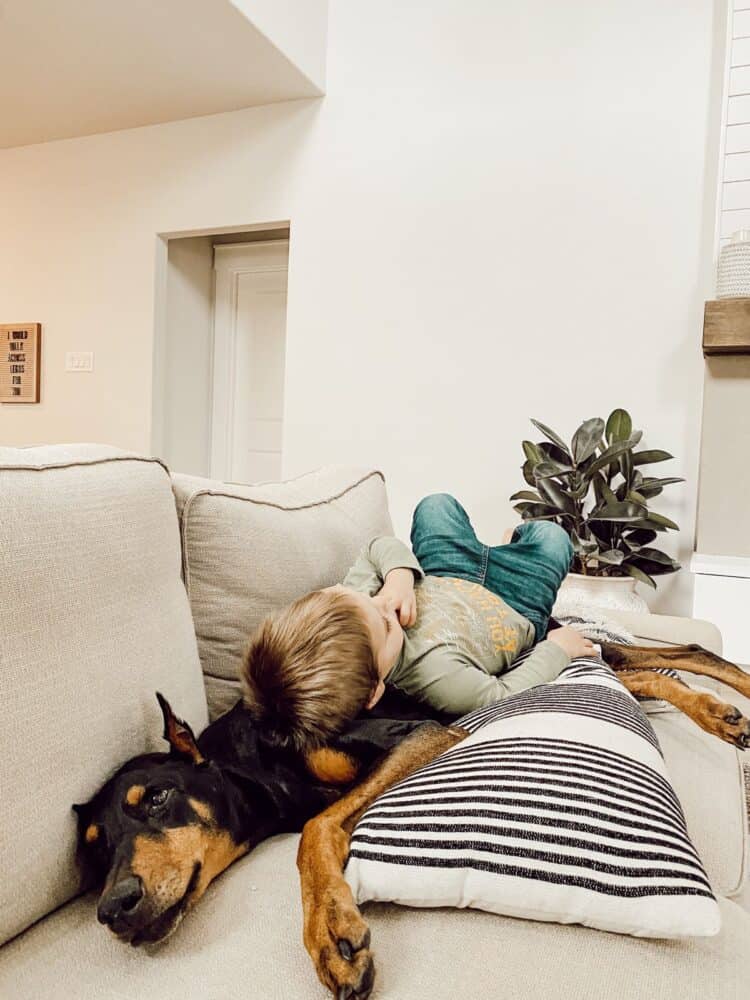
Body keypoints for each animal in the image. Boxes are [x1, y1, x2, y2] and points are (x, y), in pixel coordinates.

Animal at [75, 640, 750, 1000]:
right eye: (94, 852)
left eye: (156, 798)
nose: (113, 909)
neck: (254, 757)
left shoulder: (423, 733)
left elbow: (316, 828)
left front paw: (331, 932)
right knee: (642, 670)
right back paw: (718, 710)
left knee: (656, 655)